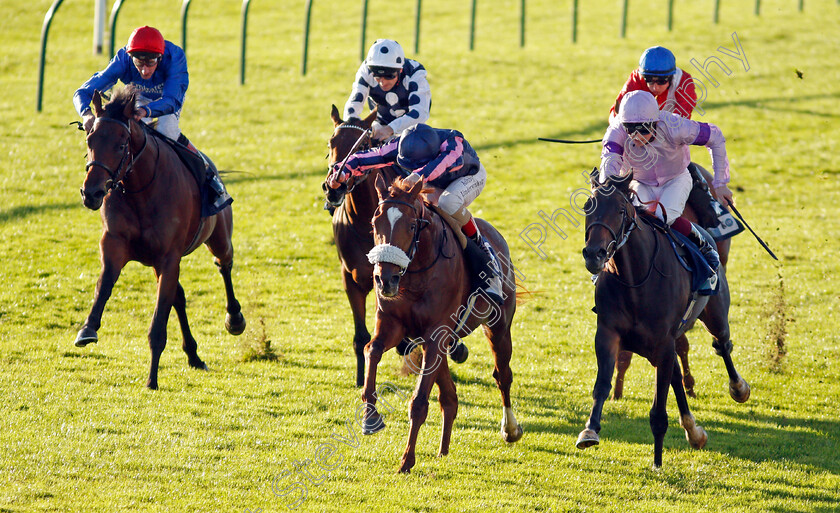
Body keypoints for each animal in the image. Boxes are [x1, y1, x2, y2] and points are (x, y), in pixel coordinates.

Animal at [74, 88, 246, 390]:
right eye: (90, 139)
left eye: (121, 145)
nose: (91, 193)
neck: (141, 188)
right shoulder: (115, 244)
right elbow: (104, 286)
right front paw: (87, 329)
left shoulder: (169, 257)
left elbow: (158, 322)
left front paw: (152, 379)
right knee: (179, 296)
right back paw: (193, 355)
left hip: (219, 237)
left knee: (224, 265)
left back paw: (234, 319)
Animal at [362, 175, 520, 472]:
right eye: (375, 223)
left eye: (411, 225)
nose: (385, 279)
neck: (415, 273)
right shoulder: (393, 324)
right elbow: (372, 350)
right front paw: (370, 415)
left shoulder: (436, 333)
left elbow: (419, 402)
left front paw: (406, 460)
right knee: (450, 396)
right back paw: (443, 449)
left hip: (498, 326)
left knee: (502, 376)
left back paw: (510, 429)